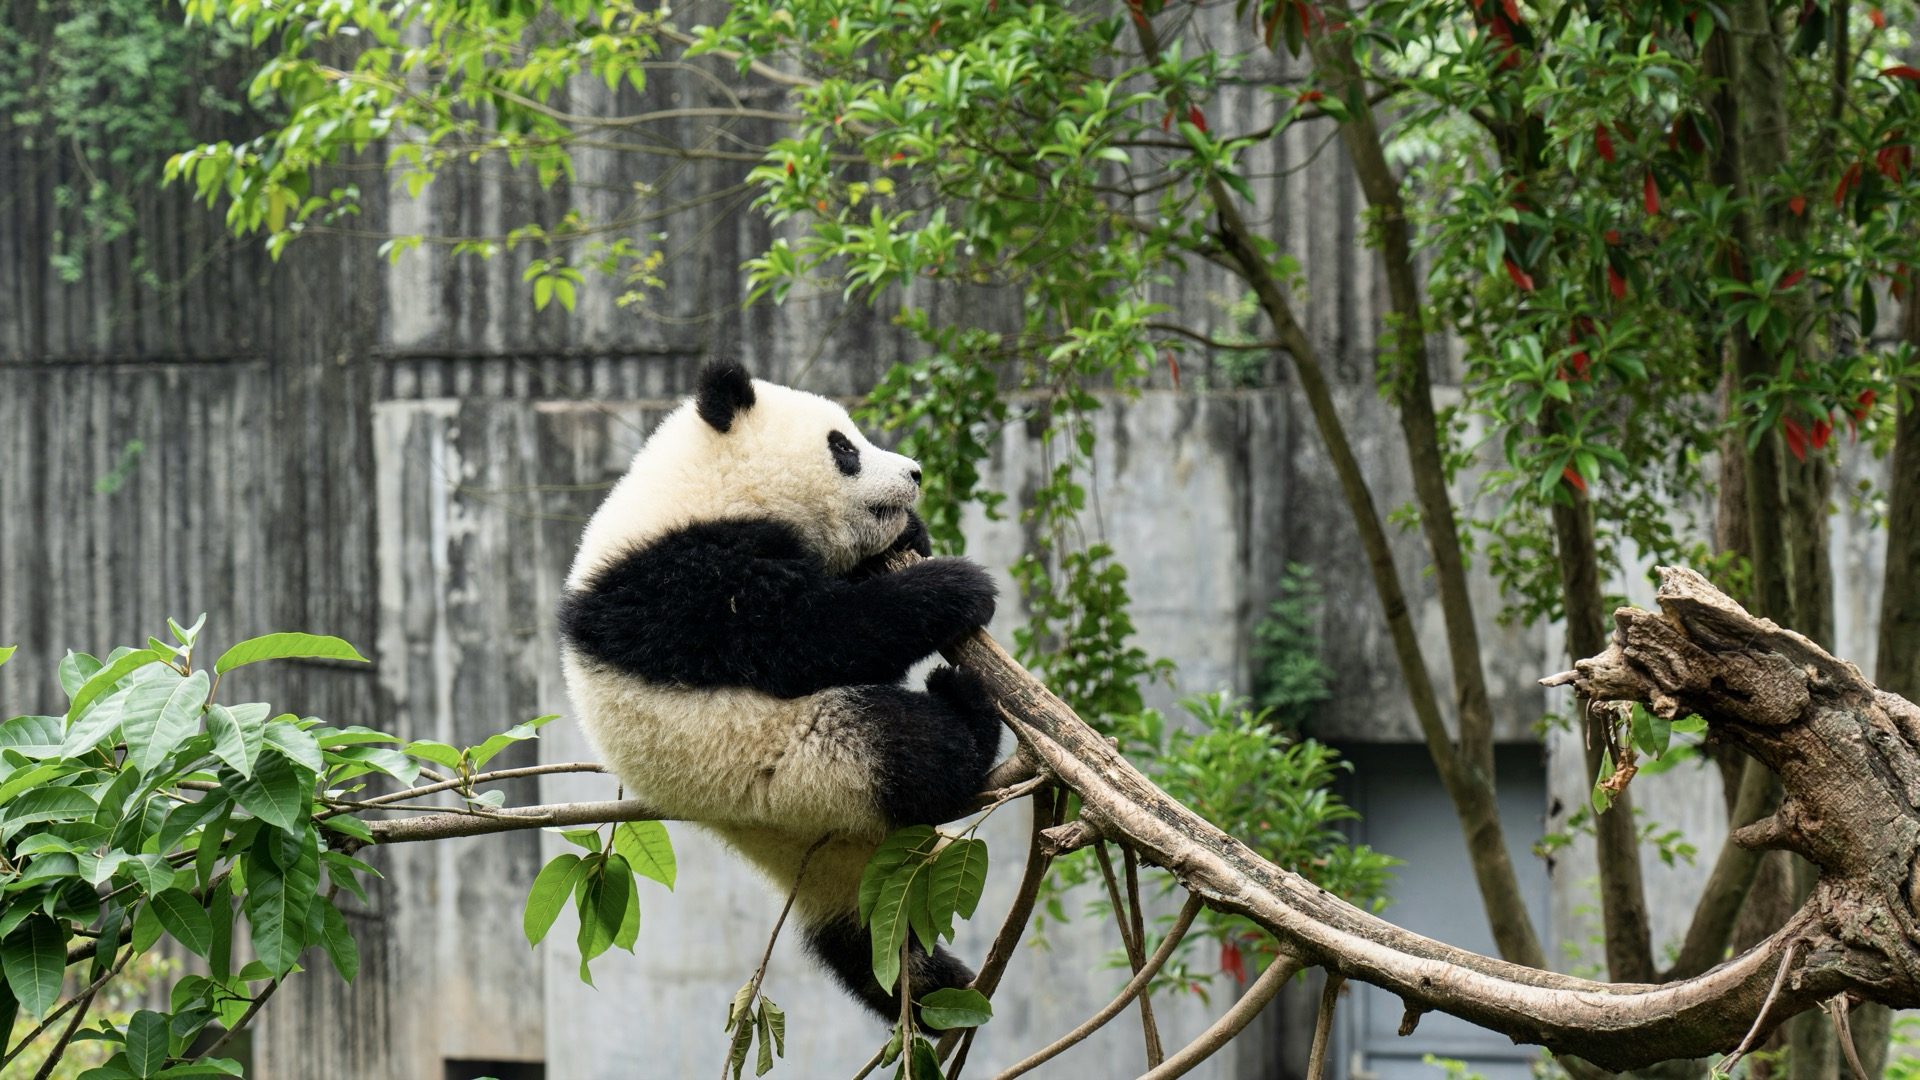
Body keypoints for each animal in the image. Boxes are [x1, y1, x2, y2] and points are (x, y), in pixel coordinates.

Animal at [556, 361, 1005, 1019]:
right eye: (844, 448)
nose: (915, 474)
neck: (702, 486)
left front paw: (912, 537)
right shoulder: (682, 581)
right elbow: (804, 639)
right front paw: (953, 586)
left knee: (859, 946)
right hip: (808, 763)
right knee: (914, 746)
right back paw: (965, 708)